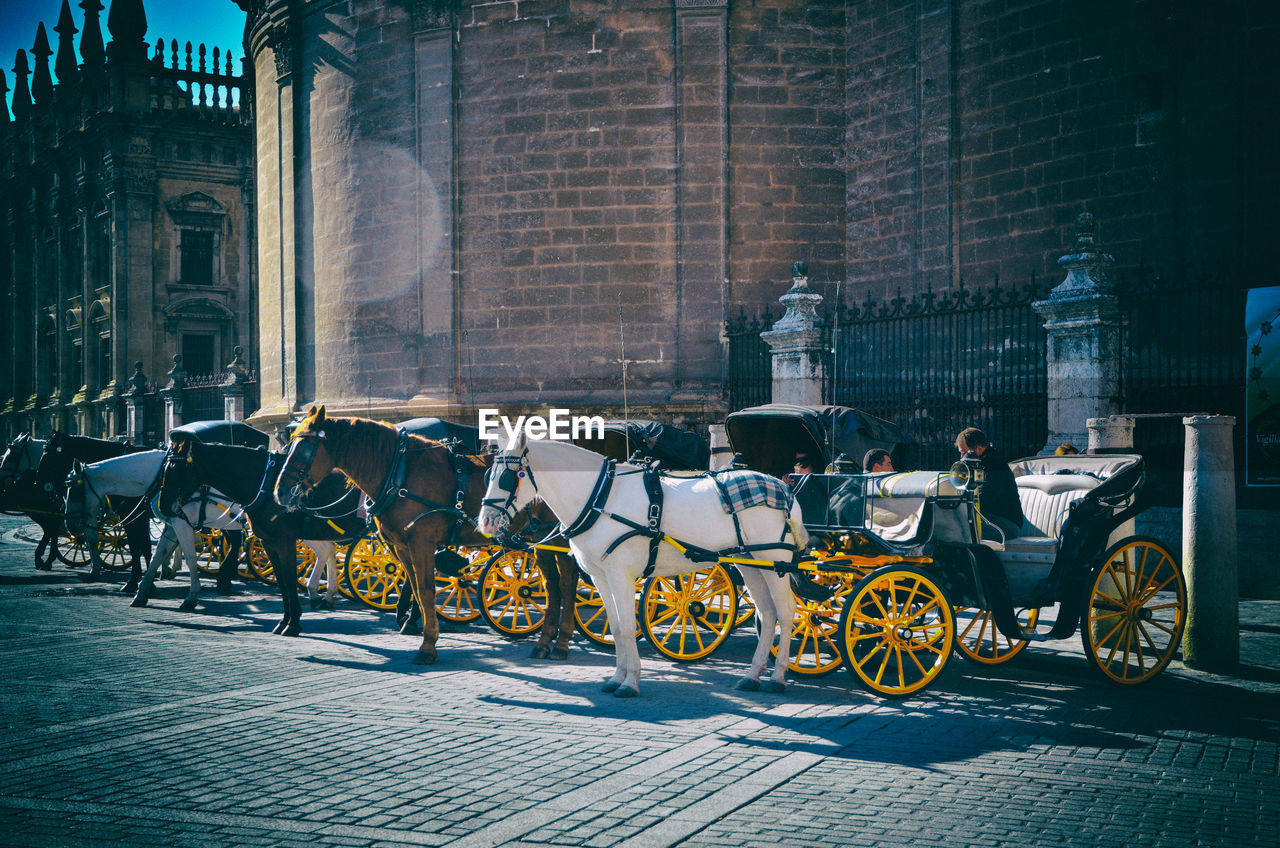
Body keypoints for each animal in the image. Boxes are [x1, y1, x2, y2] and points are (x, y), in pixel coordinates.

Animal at [32, 432, 153, 591]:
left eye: (49, 459)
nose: (38, 488)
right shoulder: (135, 516)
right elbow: (140, 545)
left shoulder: (134, 516)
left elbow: (138, 545)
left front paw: (137, 582)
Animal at [65, 456, 337, 614]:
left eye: (74, 490)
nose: (70, 526)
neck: (162, 476)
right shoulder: (171, 524)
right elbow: (157, 556)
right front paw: (142, 592)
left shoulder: (182, 524)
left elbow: (189, 557)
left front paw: (191, 597)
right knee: (331, 548)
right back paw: (325, 593)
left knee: (324, 549)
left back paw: (317, 590)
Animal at [159, 440, 363, 635]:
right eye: (165, 469)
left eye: (177, 470)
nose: (163, 506)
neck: (265, 483)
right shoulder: (269, 543)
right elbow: (282, 582)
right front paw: (284, 622)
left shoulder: (285, 541)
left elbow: (290, 580)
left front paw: (293, 624)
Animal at [273, 409, 488, 666]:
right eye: (289, 445)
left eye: (305, 449)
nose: (280, 492)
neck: (401, 472)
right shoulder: (403, 546)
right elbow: (416, 590)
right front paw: (420, 631)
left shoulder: (422, 543)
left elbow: (426, 590)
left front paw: (427, 646)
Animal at [476, 435, 803, 701]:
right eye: (487, 474)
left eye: (509, 477)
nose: (485, 522)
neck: (600, 498)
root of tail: (783, 489)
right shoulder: (600, 577)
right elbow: (616, 627)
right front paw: (616, 678)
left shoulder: (620, 575)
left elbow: (627, 627)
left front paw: (630, 683)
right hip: (750, 562)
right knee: (767, 612)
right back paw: (753, 675)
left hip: (775, 560)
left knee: (786, 612)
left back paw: (777, 677)